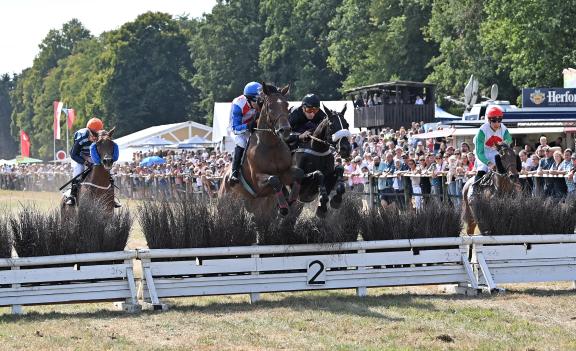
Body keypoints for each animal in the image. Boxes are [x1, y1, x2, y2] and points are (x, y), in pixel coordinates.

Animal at [218, 83, 304, 217]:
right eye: (270, 106)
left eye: (287, 105)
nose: (285, 130)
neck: (271, 145)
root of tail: (222, 180)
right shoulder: (257, 182)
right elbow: (274, 180)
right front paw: (284, 207)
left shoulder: (285, 173)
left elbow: (299, 173)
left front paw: (290, 200)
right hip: (225, 206)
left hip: (257, 208)